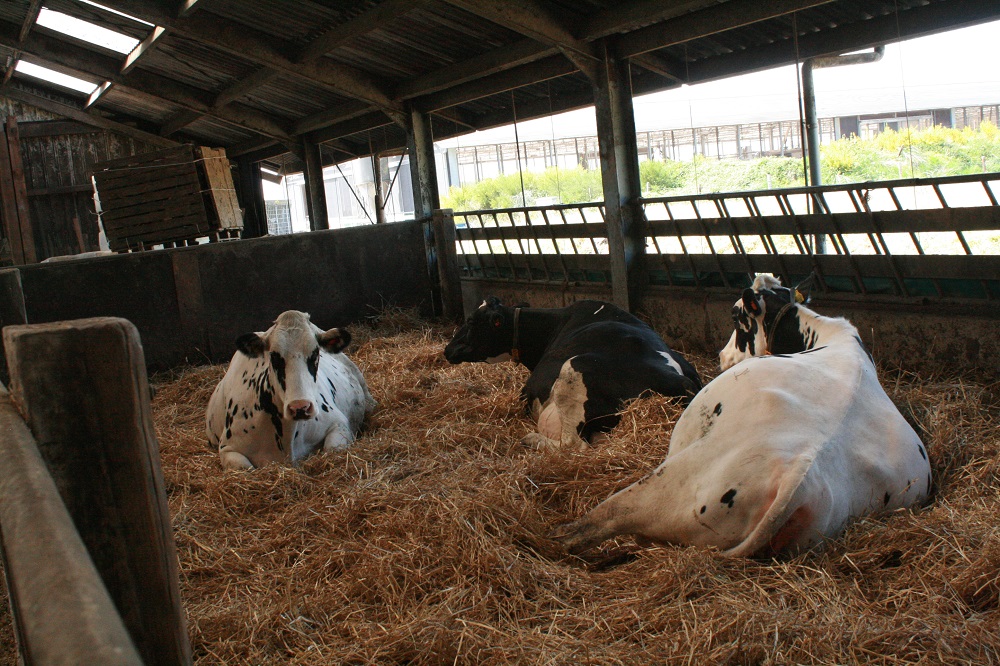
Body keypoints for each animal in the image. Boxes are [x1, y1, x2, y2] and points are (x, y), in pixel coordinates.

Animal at [205, 310, 376, 470]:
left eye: (315, 352)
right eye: (274, 356)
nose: (300, 407)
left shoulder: (338, 423)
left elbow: (333, 450)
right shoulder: (228, 447)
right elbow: (245, 467)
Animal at [446, 296, 704, 448]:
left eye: (471, 321)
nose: (447, 349)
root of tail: (679, 380)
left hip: (574, 370)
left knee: (572, 445)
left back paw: (531, 440)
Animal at [552, 274, 932, 556]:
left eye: (736, 316)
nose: (721, 356)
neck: (833, 336)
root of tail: (800, 473)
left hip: (667, 482)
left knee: (597, 523)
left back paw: (553, 538)